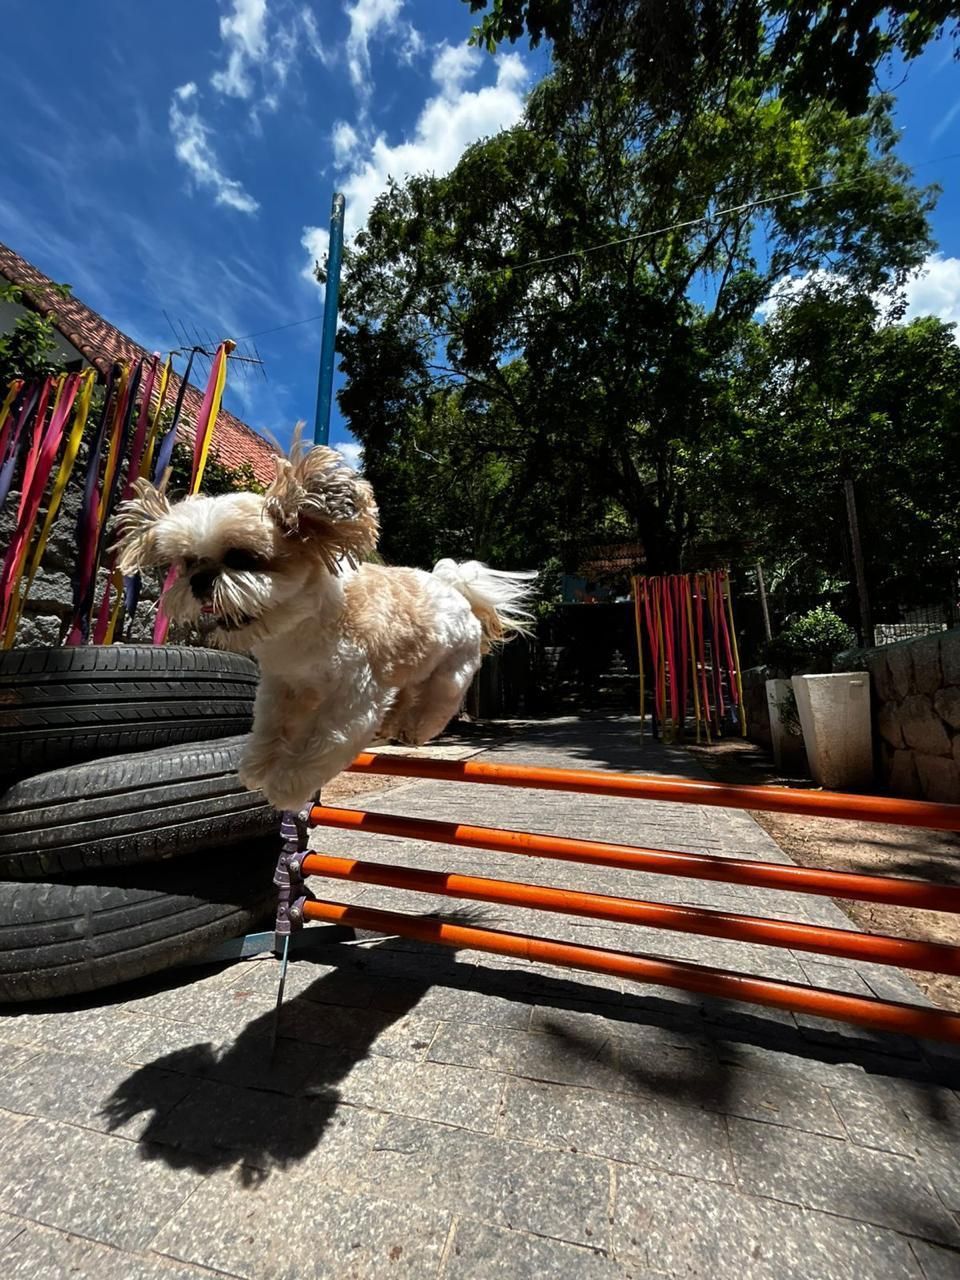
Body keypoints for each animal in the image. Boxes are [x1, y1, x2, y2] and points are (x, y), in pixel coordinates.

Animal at [114, 434, 535, 812]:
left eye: (241, 557)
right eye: (186, 562)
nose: (200, 580)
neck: (302, 626)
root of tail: (454, 586)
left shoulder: (353, 698)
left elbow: (324, 742)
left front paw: (285, 784)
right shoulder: (283, 685)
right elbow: (270, 727)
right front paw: (258, 766)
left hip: (451, 670)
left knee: (437, 700)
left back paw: (414, 727)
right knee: (402, 694)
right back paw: (393, 723)